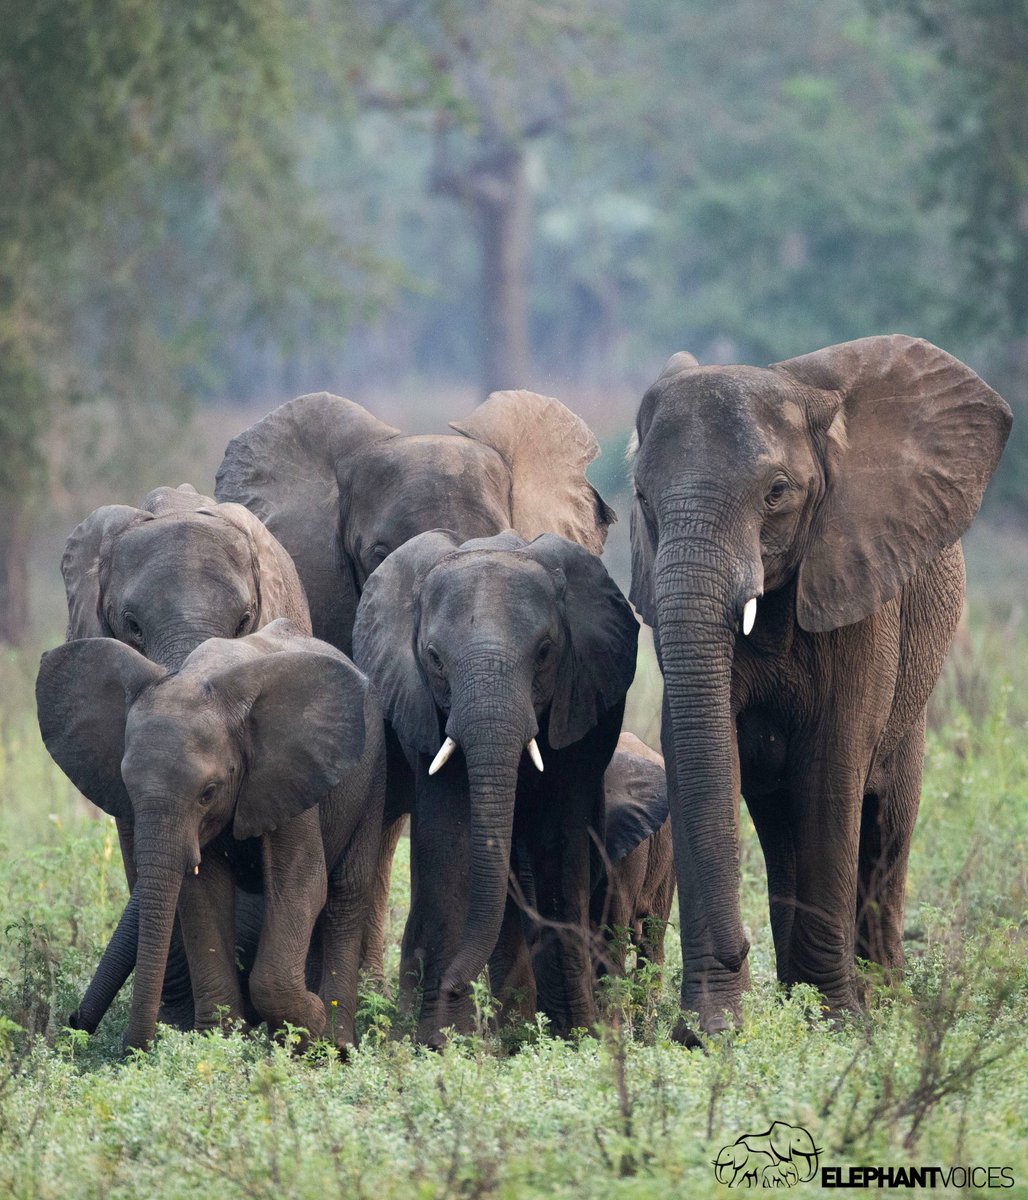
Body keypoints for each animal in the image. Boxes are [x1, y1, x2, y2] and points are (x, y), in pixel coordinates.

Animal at [36, 619, 385, 1051]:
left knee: (345, 896)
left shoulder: (288, 772)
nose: (74, 1021)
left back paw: (334, 1045)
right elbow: (201, 895)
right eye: (127, 787)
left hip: (373, 777)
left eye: (208, 792)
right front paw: (222, 1043)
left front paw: (312, 1024)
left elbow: (301, 883)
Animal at [351, 529, 638, 1044]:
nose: (451, 984)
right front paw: (443, 1040)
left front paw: (574, 1037)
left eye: (545, 652)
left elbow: (558, 840)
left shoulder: (577, 702)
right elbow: (452, 832)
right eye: (434, 659)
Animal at [629, 335, 1012, 1035]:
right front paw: (711, 1031)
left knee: (885, 819)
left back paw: (881, 995)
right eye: (642, 496)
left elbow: (832, 769)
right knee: (781, 826)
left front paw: (838, 1023)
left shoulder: (859, 578)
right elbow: (704, 756)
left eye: (777, 492)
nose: (737, 953)